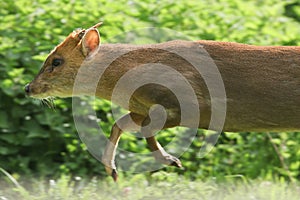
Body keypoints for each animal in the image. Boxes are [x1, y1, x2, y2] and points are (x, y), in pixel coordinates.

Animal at [25, 22, 300, 180]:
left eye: (56, 61)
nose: (28, 88)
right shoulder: (140, 108)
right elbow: (119, 124)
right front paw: (112, 170)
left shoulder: (188, 104)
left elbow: (142, 129)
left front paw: (170, 160)